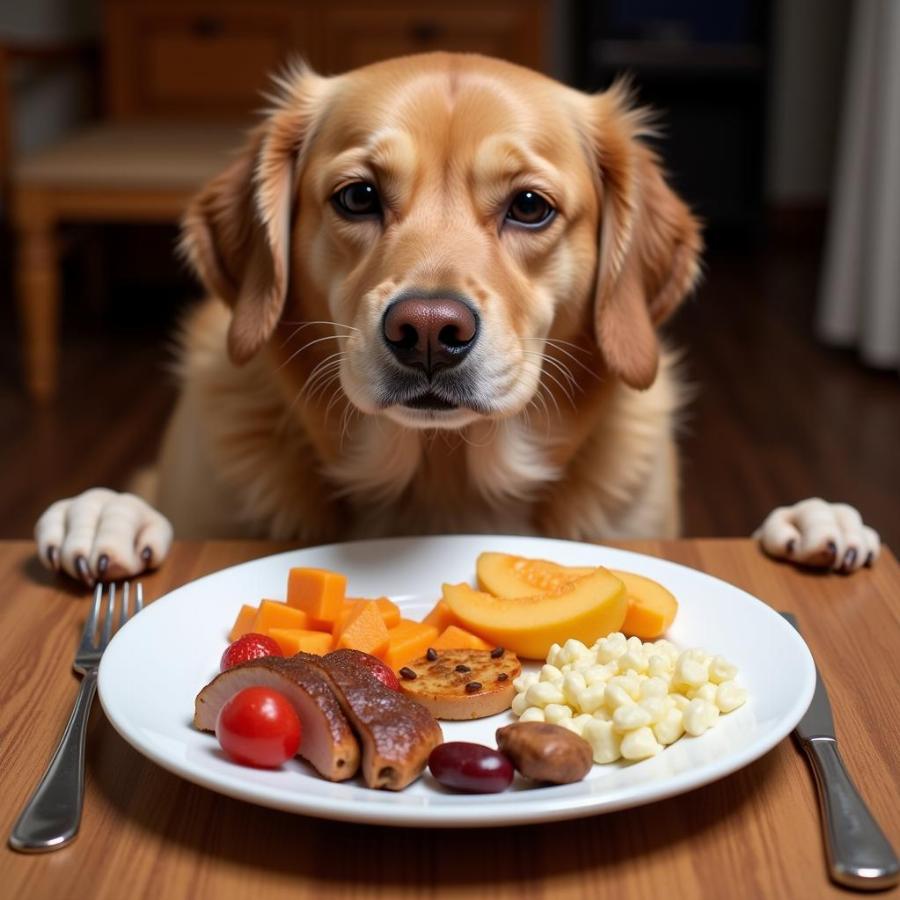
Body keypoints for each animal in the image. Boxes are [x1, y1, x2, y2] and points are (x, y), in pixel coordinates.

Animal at [33, 52, 880, 584]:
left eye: (530, 206)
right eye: (358, 196)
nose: (429, 331)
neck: (438, 482)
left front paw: (815, 522)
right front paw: (104, 516)